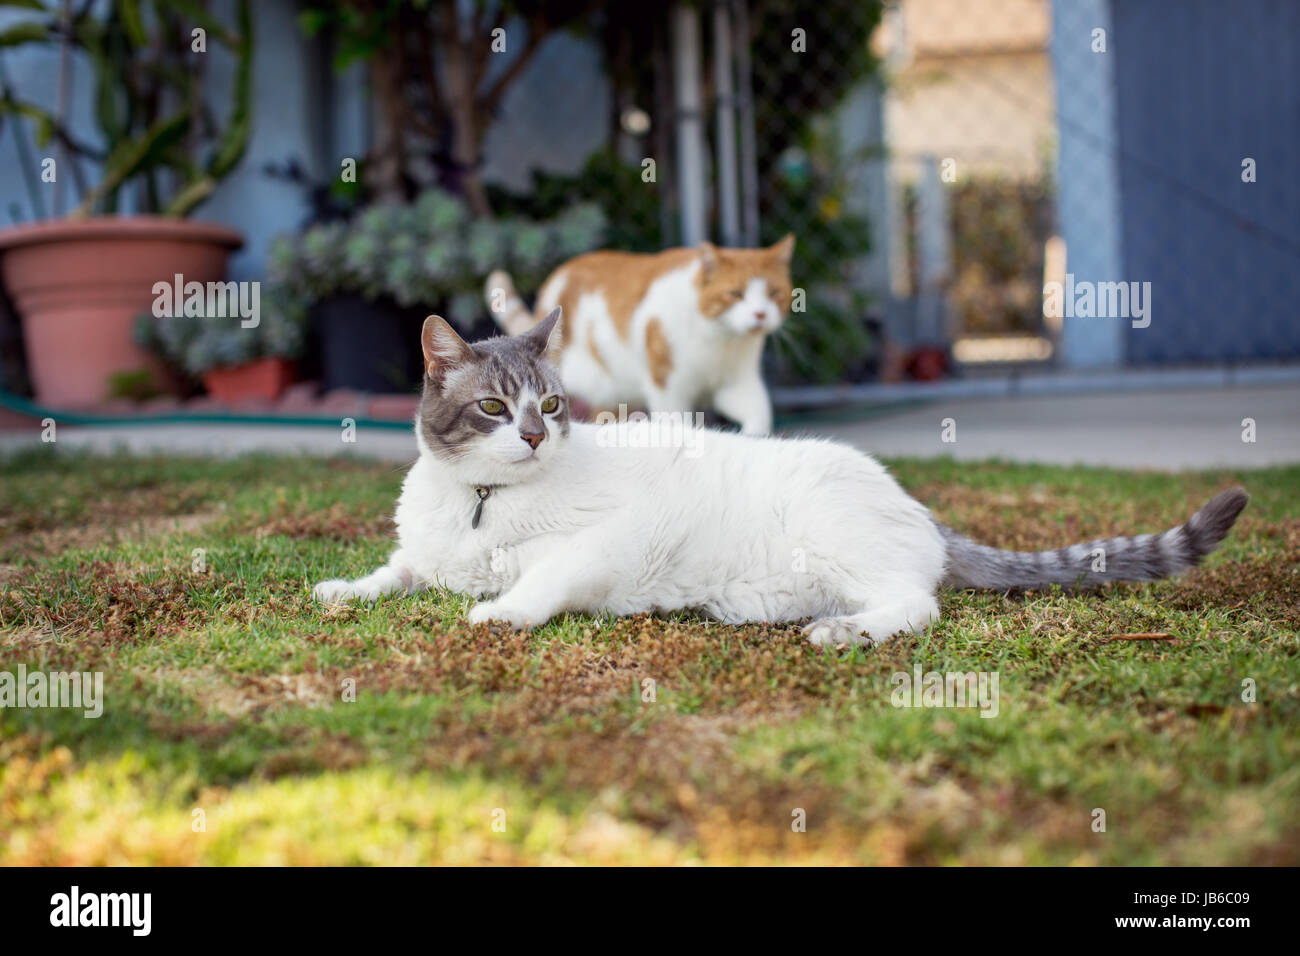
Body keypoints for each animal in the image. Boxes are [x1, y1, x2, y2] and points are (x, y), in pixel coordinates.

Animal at [312, 310, 1248, 647]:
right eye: (495, 409)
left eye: (548, 402)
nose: (538, 436)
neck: (478, 504)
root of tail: (917, 505)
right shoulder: (423, 558)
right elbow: (391, 573)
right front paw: (343, 589)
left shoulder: (600, 545)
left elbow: (540, 582)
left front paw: (500, 612)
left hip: (838, 542)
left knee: (916, 604)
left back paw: (846, 634)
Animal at [486, 238, 790, 434]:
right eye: (735, 294)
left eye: (774, 293)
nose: (760, 314)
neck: (723, 340)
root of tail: (557, 276)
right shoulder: (667, 384)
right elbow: (677, 422)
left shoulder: (736, 383)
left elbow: (759, 412)